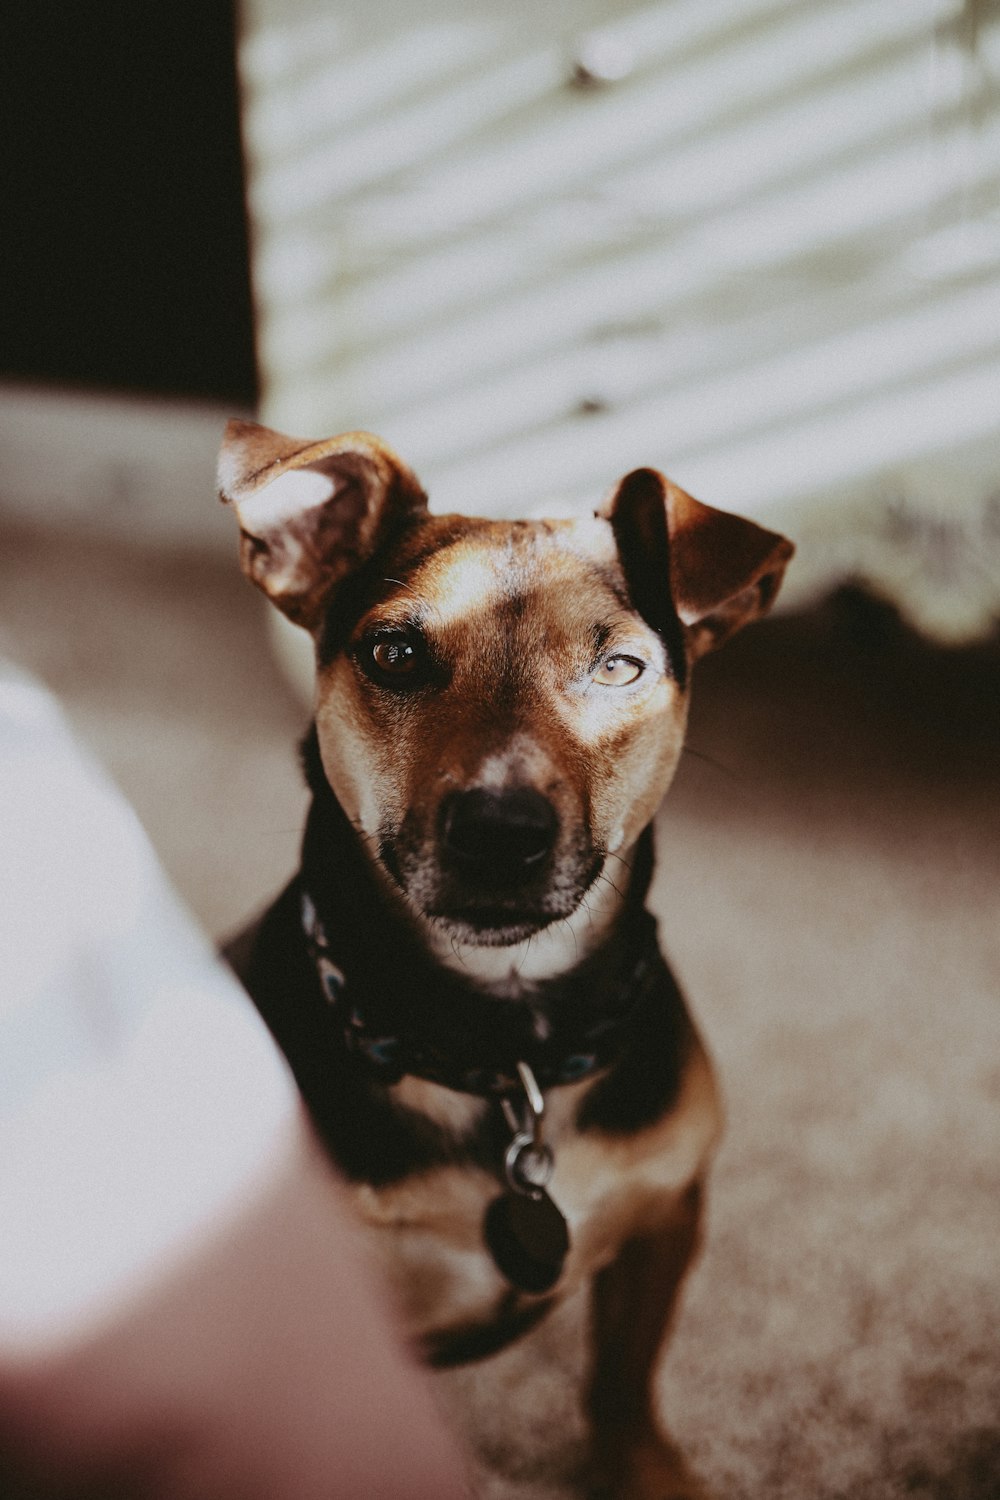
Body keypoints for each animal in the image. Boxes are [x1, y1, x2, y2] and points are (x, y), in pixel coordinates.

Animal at [218, 423, 791, 1500]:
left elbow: (623, 1382)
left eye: (620, 668)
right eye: (393, 652)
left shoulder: (668, 1214)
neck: (505, 1045)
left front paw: (645, 1469)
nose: (499, 830)